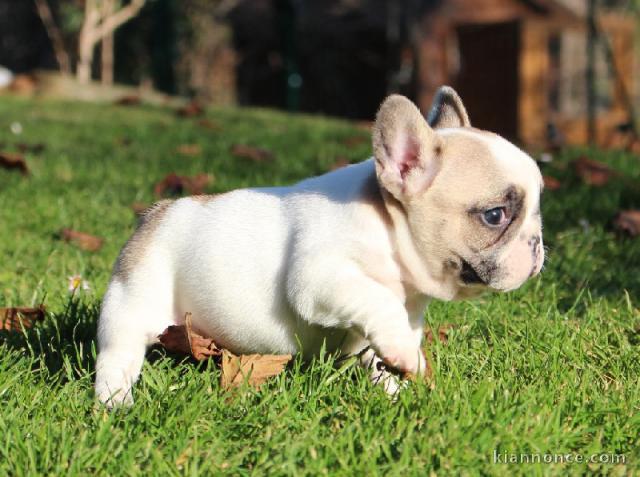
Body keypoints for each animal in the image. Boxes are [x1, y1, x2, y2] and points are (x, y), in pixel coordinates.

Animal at [95, 86, 544, 406]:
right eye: (495, 215)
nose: (538, 243)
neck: (388, 231)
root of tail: (156, 212)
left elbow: (381, 348)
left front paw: (394, 388)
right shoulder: (320, 278)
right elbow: (378, 300)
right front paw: (406, 357)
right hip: (132, 300)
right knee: (118, 352)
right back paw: (115, 401)